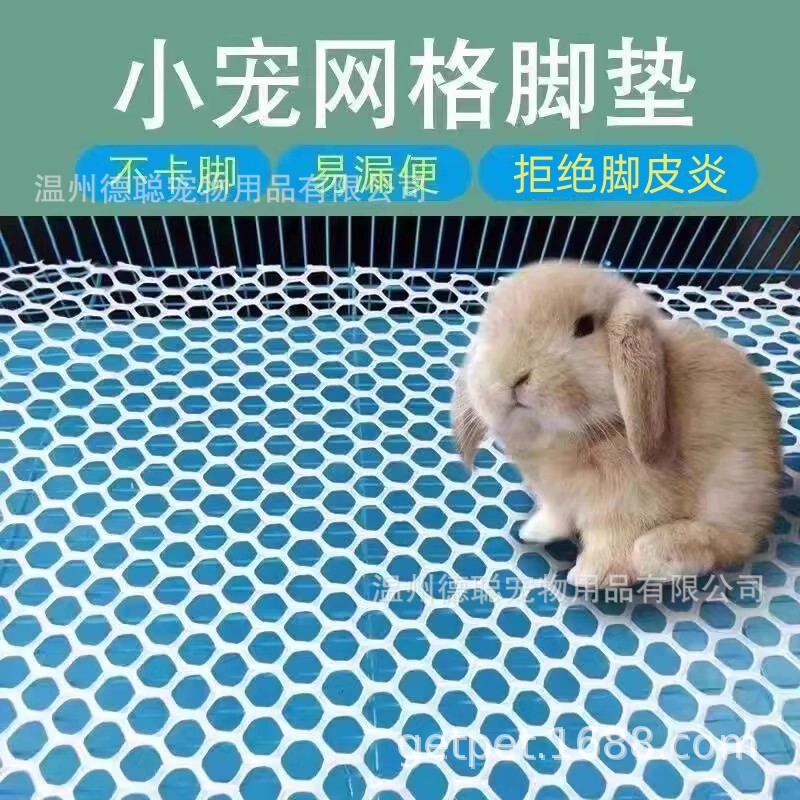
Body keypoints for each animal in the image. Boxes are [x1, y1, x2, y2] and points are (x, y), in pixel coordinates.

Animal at [451, 260, 782, 587]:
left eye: (584, 327)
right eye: (492, 328)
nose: (512, 377)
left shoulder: (629, 508)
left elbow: (613, 545)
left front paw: (587, 576)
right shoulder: (556, 497)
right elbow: (556, 516)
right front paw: (534, 531)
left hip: (735, 486)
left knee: (730, 543)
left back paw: (661, 556)